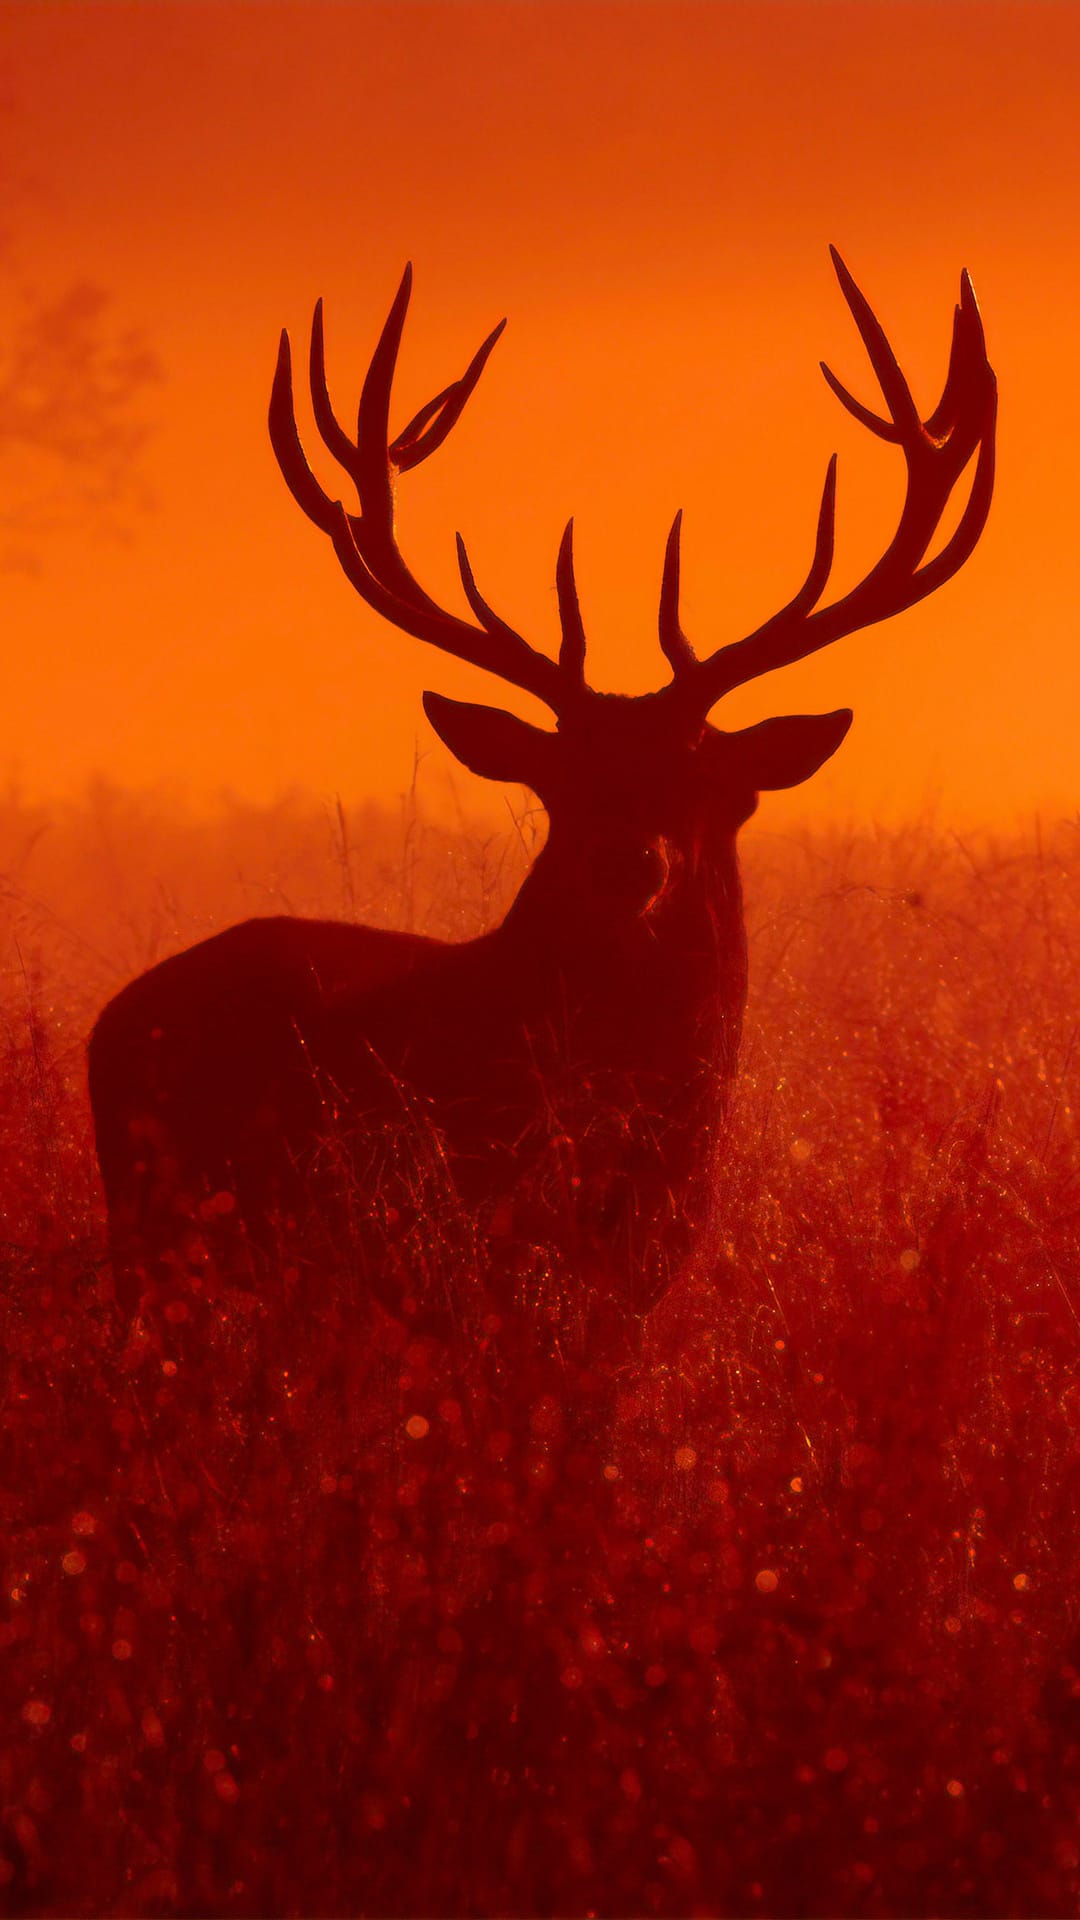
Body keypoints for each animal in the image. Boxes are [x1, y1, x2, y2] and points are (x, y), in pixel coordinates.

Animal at [88, 249, 996, 1331]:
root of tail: (108, 1022)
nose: (626, 860)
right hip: (168, 1236)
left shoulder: (635, 1288)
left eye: (706, 781)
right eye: (562, 782)